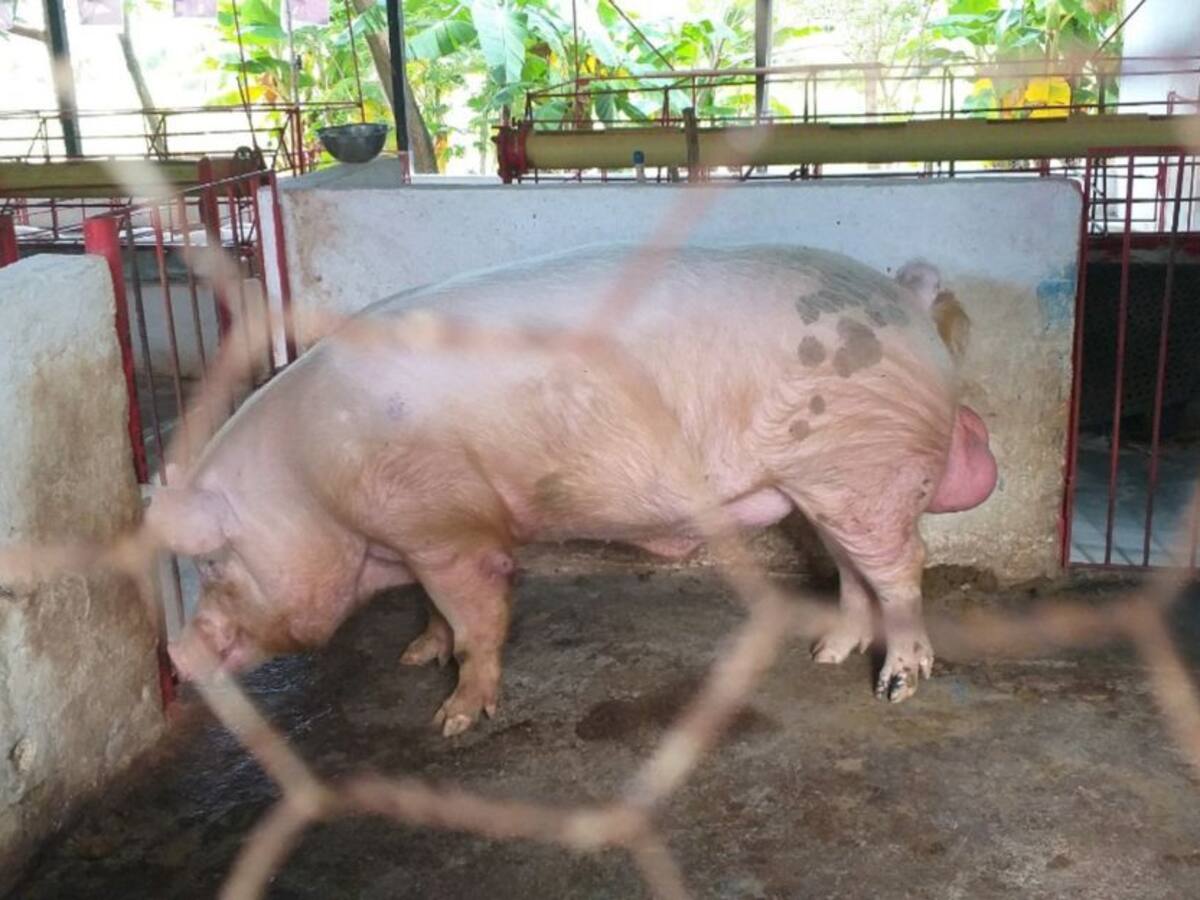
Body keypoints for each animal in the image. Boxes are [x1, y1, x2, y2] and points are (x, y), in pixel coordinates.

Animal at [148, 244, 997, 736]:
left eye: (214, 563)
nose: (176, 651)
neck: (309, 484)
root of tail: (906, 296)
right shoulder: (416, 536)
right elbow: (433, 611)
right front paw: (415, 657)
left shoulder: (446, 524)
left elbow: (477, 615)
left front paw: (454, 718)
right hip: (825, 484)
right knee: (854, 570)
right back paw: (826, 653)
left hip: (865, 463)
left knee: (902, 569)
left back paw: (895, 686)